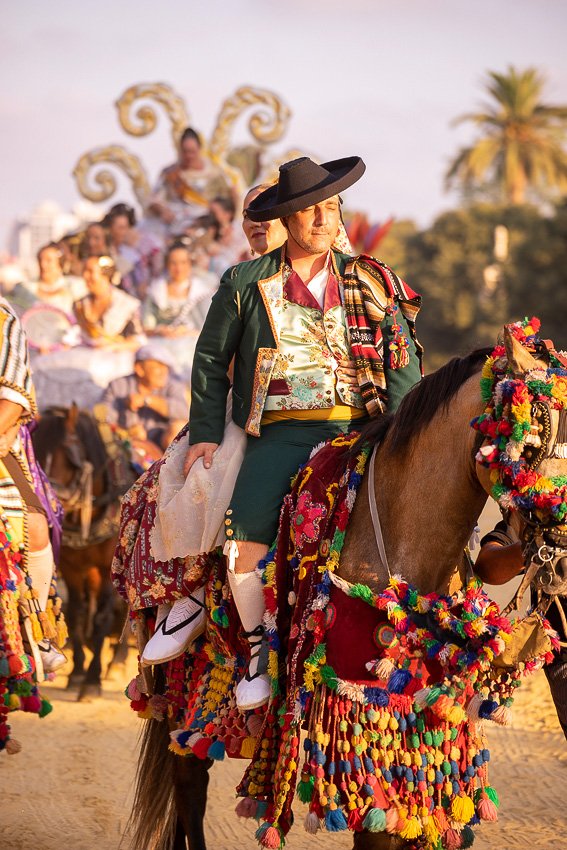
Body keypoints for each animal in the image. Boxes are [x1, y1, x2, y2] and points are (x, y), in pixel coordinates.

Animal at [32, 408, 138, 700]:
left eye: (71, 457)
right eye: (34, 451)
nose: (48, 500)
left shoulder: (107, 567)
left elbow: (102, 616)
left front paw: (92, 681)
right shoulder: (71, 567)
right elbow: (77, 614)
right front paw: (78, 673)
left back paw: (117, 662)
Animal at [126, 330, 567, 848]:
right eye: (533, 437)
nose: (560, 546)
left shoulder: (423, 719)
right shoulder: (360, 715)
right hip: (185, 681)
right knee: (189, 788)